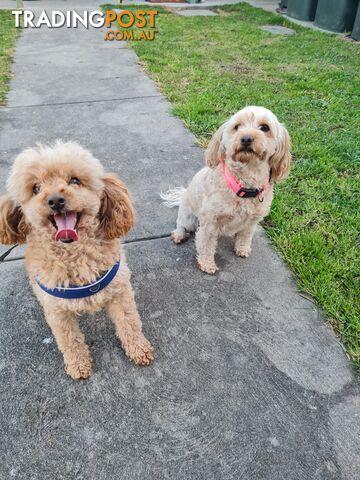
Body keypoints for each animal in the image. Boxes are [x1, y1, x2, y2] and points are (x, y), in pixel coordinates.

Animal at [0, 142, 153, 378]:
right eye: (36, 188)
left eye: (74, 180)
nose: (55, 200)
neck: (76, 254)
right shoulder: (57, 312)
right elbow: (69, 340)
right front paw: (78, 364)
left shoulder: (120, 292)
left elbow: (129, 322)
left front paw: (138, 348)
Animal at [162, 107, 292, 276]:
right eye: (237, 127)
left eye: (264, 127)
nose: (246, 139)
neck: (245, 183)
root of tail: (184, 194)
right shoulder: (210, 221)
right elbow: (206, 244)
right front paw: (207, 264)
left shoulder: (252, 222)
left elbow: (245, 236)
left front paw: (242, 249)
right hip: (188, 217)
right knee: (181, 225)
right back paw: (179, 235)